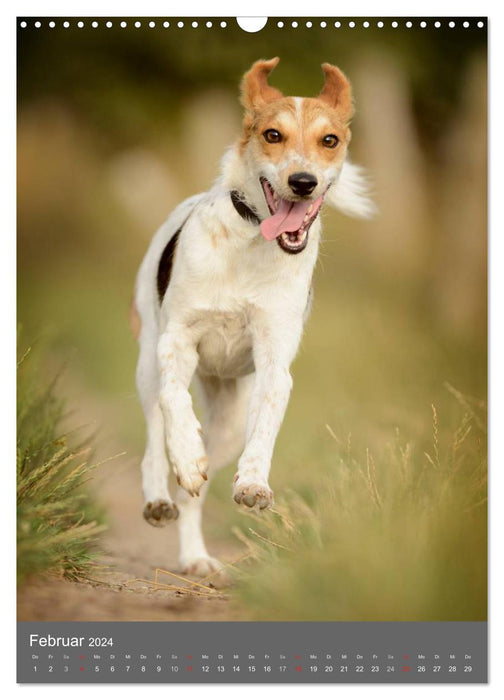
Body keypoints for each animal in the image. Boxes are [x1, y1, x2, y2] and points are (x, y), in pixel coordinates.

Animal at [130, 57, 374, 576]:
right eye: (272, 134)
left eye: (330, 140)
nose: (303, 181)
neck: (252, 242)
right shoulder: (175, 341)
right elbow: (175, 406)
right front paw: (186, 456)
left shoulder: (274, 362)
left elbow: (264, 430)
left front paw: (253, 484)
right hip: (147, 363)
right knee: (157, 436)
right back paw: (161, 491)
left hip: (227, 423)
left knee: (196, 495)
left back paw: (195, 557)